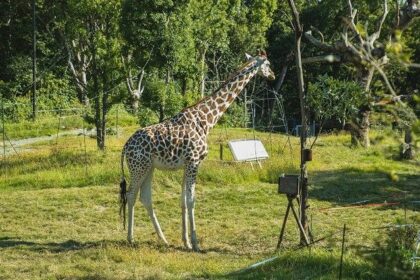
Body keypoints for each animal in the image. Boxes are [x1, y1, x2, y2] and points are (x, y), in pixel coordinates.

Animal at [119, 51, 276, 250]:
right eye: (268, 63)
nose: (273, 75)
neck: (207, 120)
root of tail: (125, 147)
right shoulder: (194, 161)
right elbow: (191, 200)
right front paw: (195, 243)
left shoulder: (187, 164)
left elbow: (183, 201)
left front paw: (185, 241)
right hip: (138, 167)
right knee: (131, 195)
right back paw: (130, 238)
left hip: (149, 167)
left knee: (145, 198)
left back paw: (163, 239)